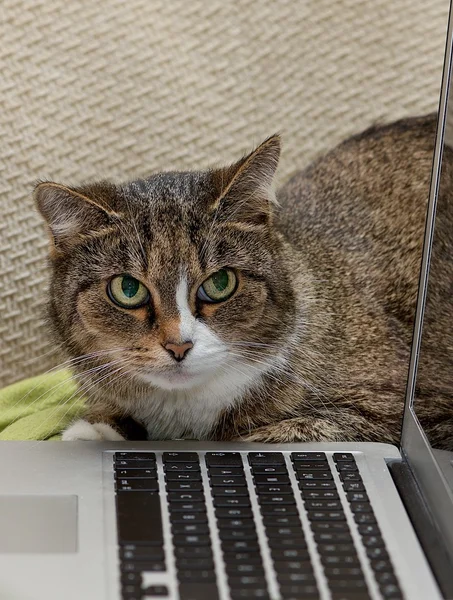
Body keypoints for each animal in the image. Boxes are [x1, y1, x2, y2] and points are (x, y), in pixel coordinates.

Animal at [34, 115, 452, 448]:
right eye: (128, 289)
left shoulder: (415, 410)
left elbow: (286, 431)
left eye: (220, 283)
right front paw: (97, 428)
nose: (179, 346)